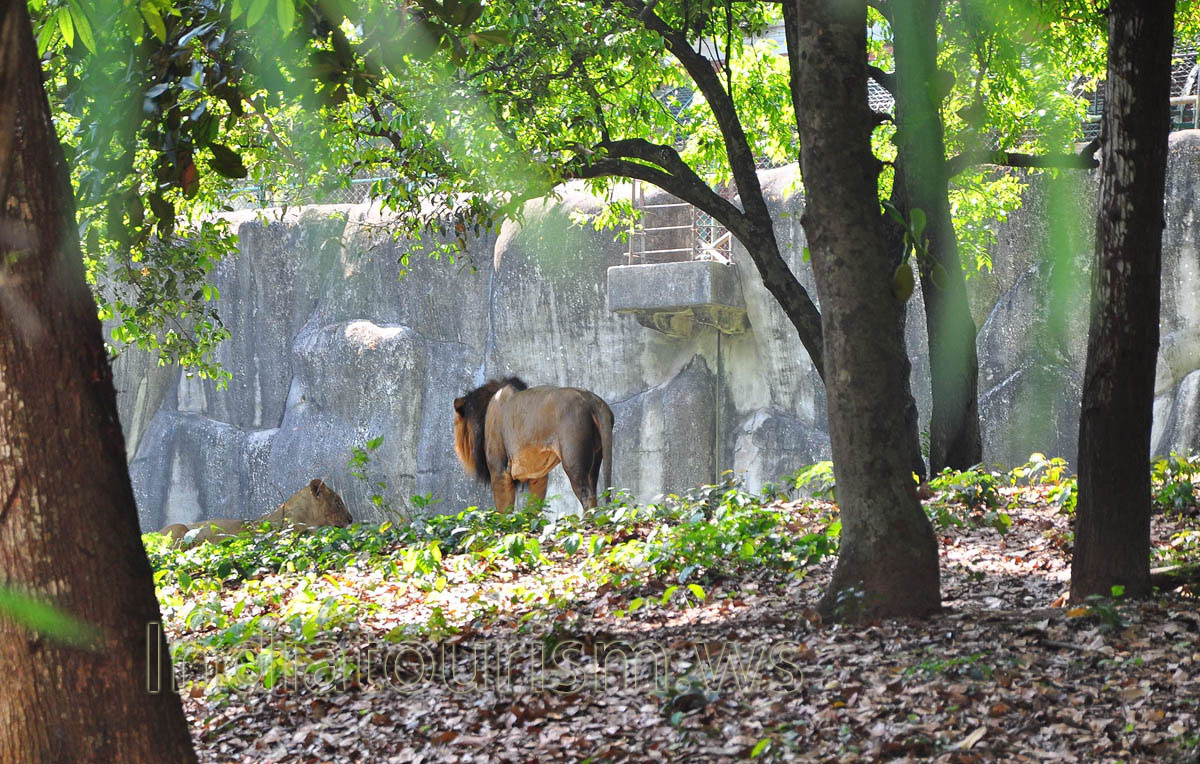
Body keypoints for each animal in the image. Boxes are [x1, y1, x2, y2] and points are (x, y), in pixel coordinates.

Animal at [453, 377, 614, 512]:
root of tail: (591, 400)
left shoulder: (499, 470)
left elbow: (504, 510)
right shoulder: (538, 476)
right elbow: (534, 507)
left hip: (573, 460)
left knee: (587, 495)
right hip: (596, 456)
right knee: (594, 491)